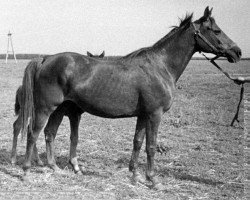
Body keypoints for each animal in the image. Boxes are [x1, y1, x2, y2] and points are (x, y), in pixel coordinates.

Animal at [17, 6, 240, 189]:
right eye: (216, 30)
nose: (237, 52)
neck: (160, 67)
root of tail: (45, 58)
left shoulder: (142, 115)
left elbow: (138, 142)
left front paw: (135, 176)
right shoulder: (155, 114)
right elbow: (151, 146)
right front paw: (153, 180)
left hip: (60, 109)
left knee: (49, 133)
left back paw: (54, 168)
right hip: (45, 108)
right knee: (33, 133)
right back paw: (26, 172)